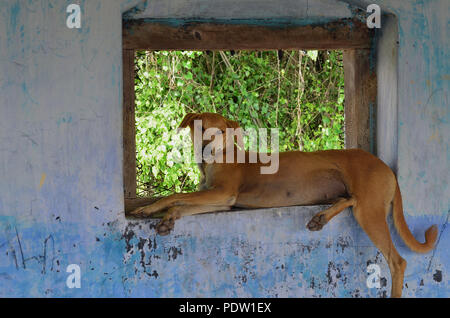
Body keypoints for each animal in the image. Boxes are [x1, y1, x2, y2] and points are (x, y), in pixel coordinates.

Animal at [128, 112, 438, 298]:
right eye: (201, 128)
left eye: (221, 132)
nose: (207, 148)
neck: (219, 160)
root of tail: (386, 168)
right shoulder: (218, 201)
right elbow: (181, 204)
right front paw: (168, 218)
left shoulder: (223, 194)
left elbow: (173, 196)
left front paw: (147, 209)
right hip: (351, 198)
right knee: (348, 199)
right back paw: (321, 217)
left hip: (370, 212)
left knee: (397, 260)